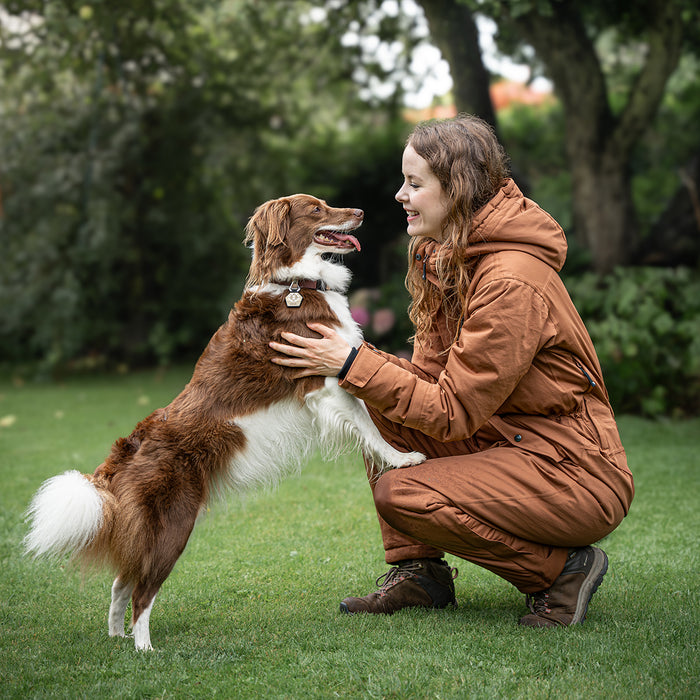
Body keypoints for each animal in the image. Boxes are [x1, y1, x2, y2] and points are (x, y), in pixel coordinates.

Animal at [23, 193, 422, 652]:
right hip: (174, 525)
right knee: (141, 590)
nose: (360, 212)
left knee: (121, 582)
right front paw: (403, 458)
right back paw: (144, 649)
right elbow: (371, 428)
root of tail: (131, 444)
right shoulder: (325, 383)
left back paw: (116, 637)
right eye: (317, 209)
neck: (295, 284)